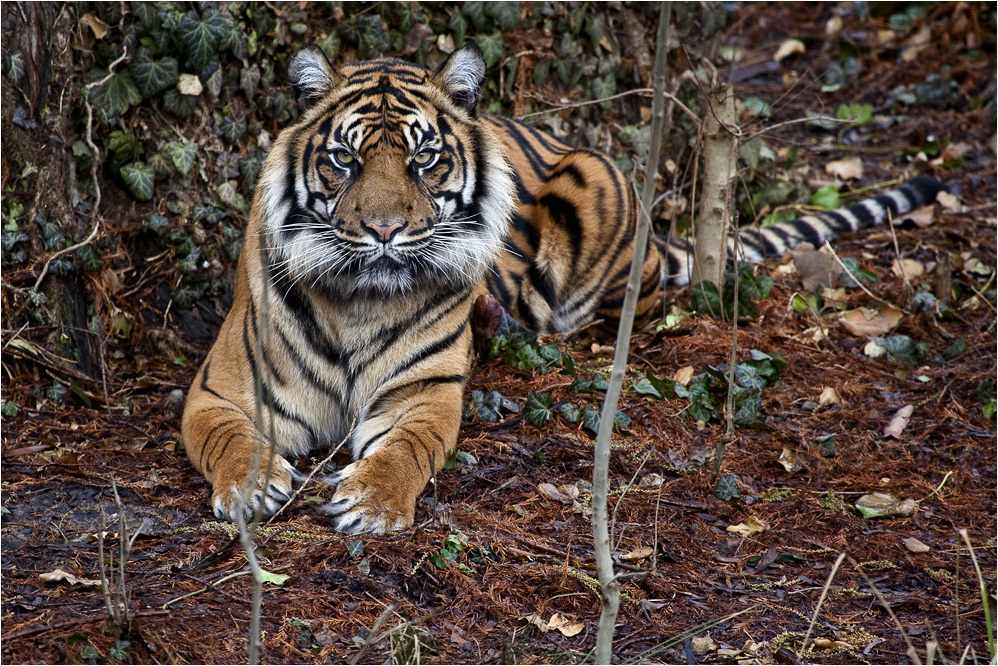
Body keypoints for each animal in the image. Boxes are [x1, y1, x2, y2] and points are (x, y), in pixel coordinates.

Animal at [178, 41, 944, 532]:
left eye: (424, 160)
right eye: (345, 159)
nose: (386, 230)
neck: (358, 303)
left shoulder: (423, 394)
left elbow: (404, 451)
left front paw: (372, 502)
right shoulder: (219, 391)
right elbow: (231, 440)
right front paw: (251, 488)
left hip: (597, 181)